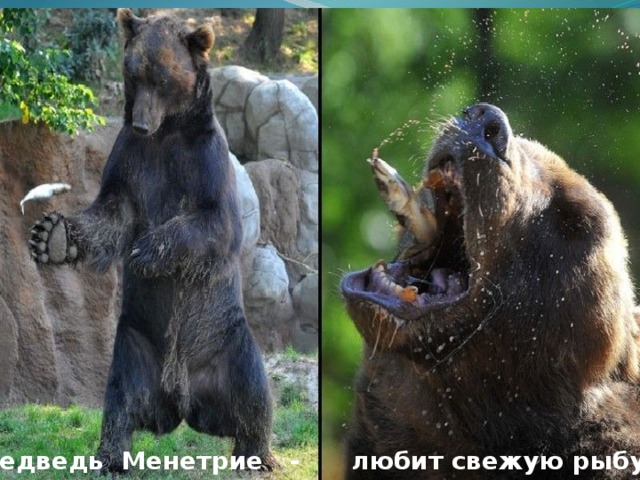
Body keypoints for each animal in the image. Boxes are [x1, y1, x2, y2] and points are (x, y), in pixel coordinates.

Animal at [28, 9, 277, 473]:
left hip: (226, 339)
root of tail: (181, 400)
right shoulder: (131, 159)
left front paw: (147, 250)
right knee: (120, 402)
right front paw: (52, 236)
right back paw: (111, 456)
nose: (142, 122)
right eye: (134, 73)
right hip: (135, 345)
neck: (167, 133)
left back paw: (257, 455)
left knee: (252, 392)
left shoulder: (203, 160)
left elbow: (215, 222)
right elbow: (111, 213)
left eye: (163, 78)